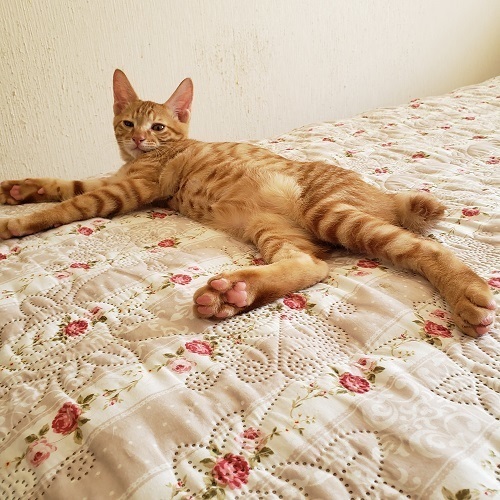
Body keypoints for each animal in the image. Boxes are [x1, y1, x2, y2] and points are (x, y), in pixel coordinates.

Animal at [0, 69, 496, 337]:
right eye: (127, 123)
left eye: (158, 127)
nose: (139, 138)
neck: (142, 159)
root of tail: (382, 196)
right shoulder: (112, 179)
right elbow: (66, 184)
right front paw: (19, 190)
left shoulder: (127, 190)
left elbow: (70, 206)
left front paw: (18, 222)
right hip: (273, 228)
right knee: (312, 267)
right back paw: (234, 294)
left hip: (328, 211)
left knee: (424, 249)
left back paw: (466, 293)